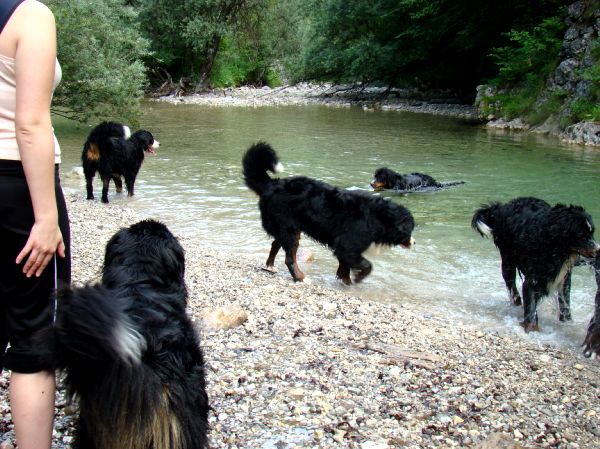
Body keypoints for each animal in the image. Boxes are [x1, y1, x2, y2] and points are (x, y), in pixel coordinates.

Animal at [472, 198, 596, 330]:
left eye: (592, 233)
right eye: (581, 235)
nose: (598, 249)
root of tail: (504, 206)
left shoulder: (564, 279)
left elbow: (565, 305)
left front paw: (568, 324)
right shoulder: (532, 280)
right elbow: (531, 311)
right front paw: (531, 328)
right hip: (507, 262)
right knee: (512, 287)